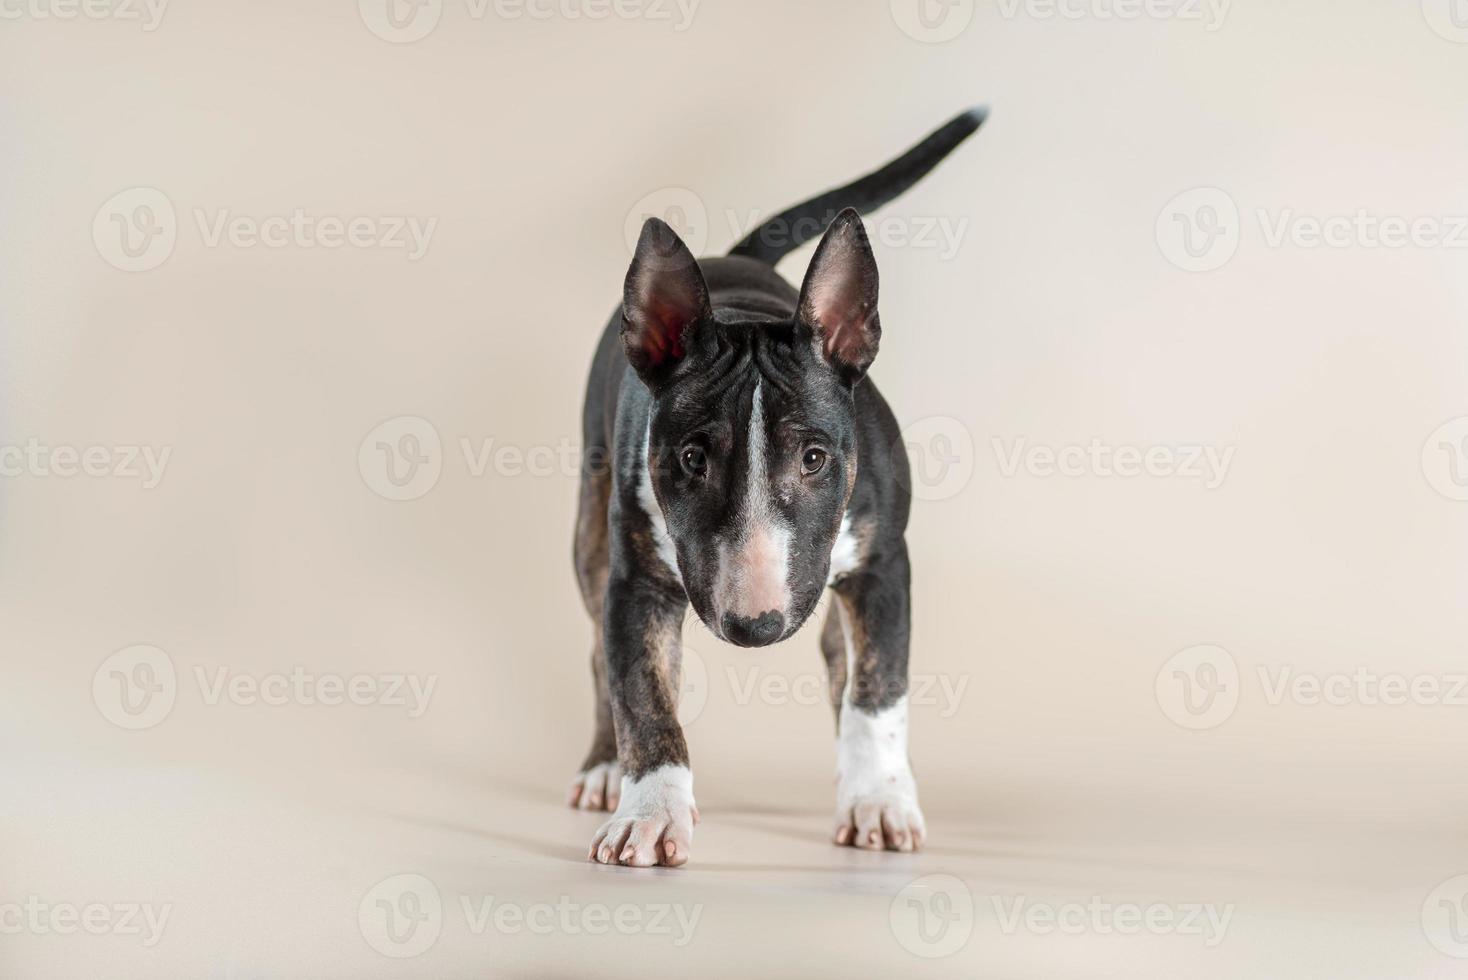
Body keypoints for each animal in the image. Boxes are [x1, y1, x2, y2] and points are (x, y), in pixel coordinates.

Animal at [569, 107, 986, 862]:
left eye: (816, 457)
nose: (754, 626)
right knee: (596, 652)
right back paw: (605, 767)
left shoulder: (884, 565)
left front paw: (880, 799)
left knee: (841, 662)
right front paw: (650, 813)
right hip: (589, 531)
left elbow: (878, 690)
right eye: (691, 459)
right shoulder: (636, 582)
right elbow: (643, 695)